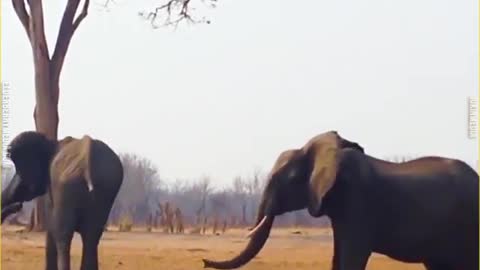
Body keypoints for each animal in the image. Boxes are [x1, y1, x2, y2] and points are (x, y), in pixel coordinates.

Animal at [0, 132, 124, 270]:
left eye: (20, 171)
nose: (18, 205)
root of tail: (88, 161)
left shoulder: (52, 186)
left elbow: (52, 225)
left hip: (67, 186)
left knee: (63, 236)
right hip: (105, 188)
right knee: (91, 236)